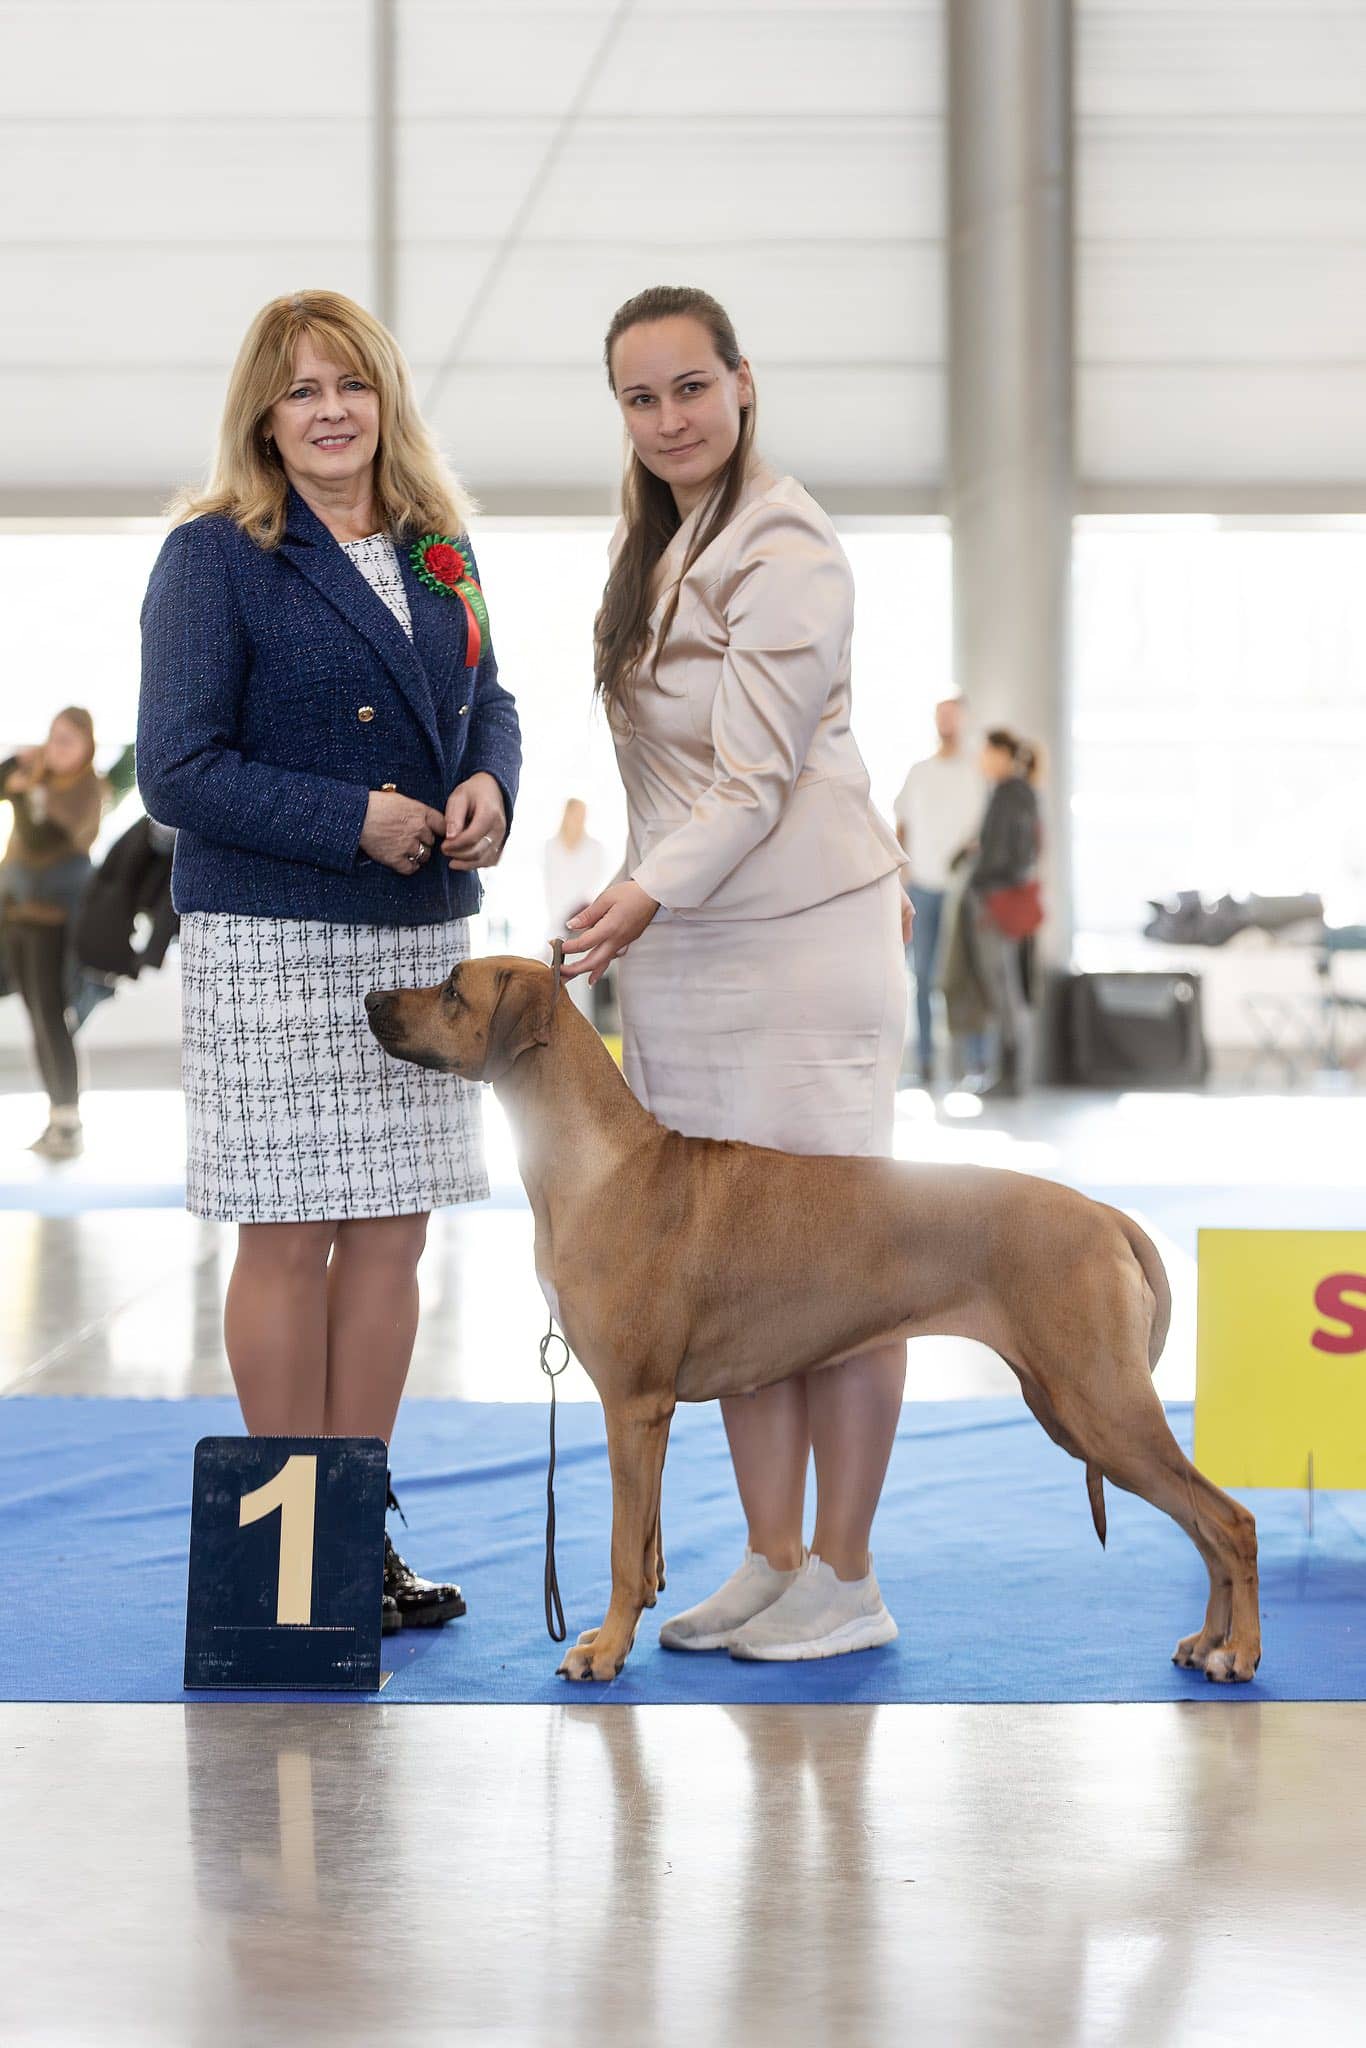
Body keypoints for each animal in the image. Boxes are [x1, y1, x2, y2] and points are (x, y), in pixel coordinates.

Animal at [365, 956, 1260, 1686]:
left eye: (452, 989)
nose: (371, 997)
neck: (597, 1163)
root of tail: (1106, 1214)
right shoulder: (648, 1417)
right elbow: (646, 1543)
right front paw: (624, 1628)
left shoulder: (633, 1404)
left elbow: (622, 1549)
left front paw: (606, 1652)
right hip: (1069, 1405)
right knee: (1204, 1527)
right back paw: (1206, 1642)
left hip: (1099, 1404)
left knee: (1230, 1521)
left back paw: (1239, 1652)